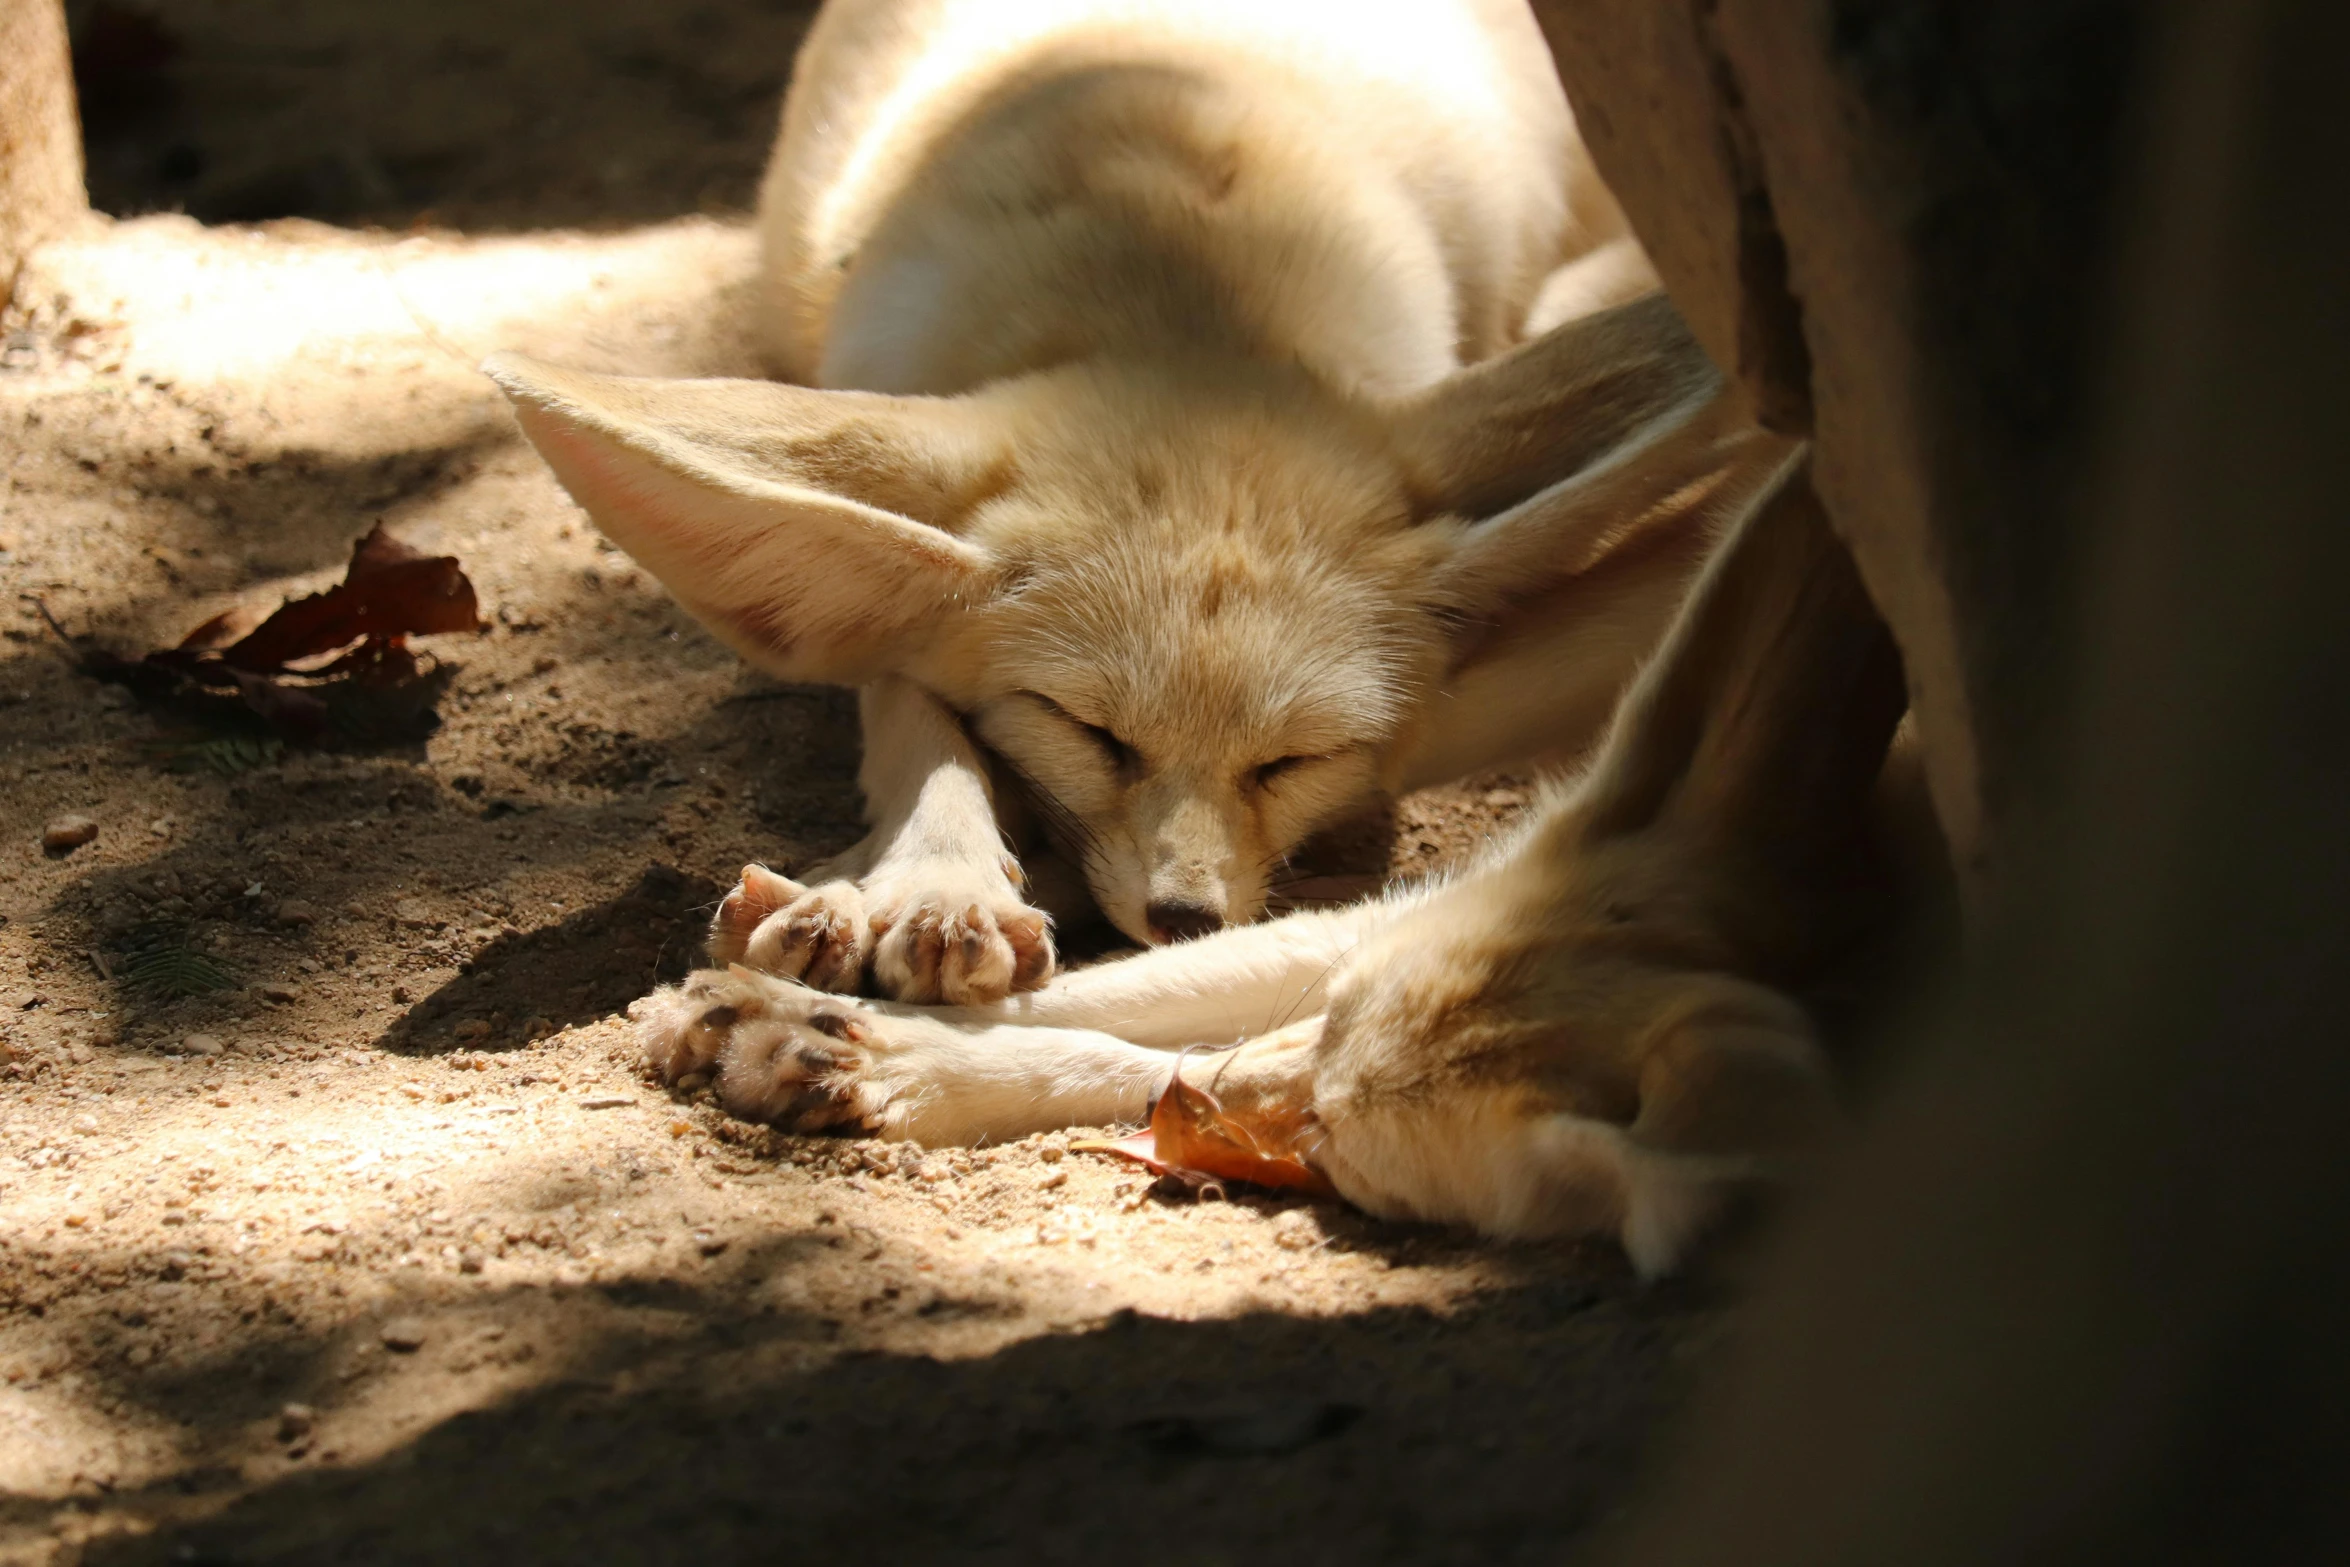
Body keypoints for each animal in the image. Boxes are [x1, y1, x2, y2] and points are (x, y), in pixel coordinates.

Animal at [491, 0, 1776, 1005]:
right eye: (1090, 733)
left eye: (1296, 760)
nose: (1184, 919)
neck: (1173, 290)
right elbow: (908, 699)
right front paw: (932, 874)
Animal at [634, 453, 1917, 1278]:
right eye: (1335, 1012)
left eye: (1349, 1157)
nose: (1204, 1110)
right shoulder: (1358, 931)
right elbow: (1102, 1008)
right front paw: (804, 1007)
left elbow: (1129, 1048)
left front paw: (860, 1050)